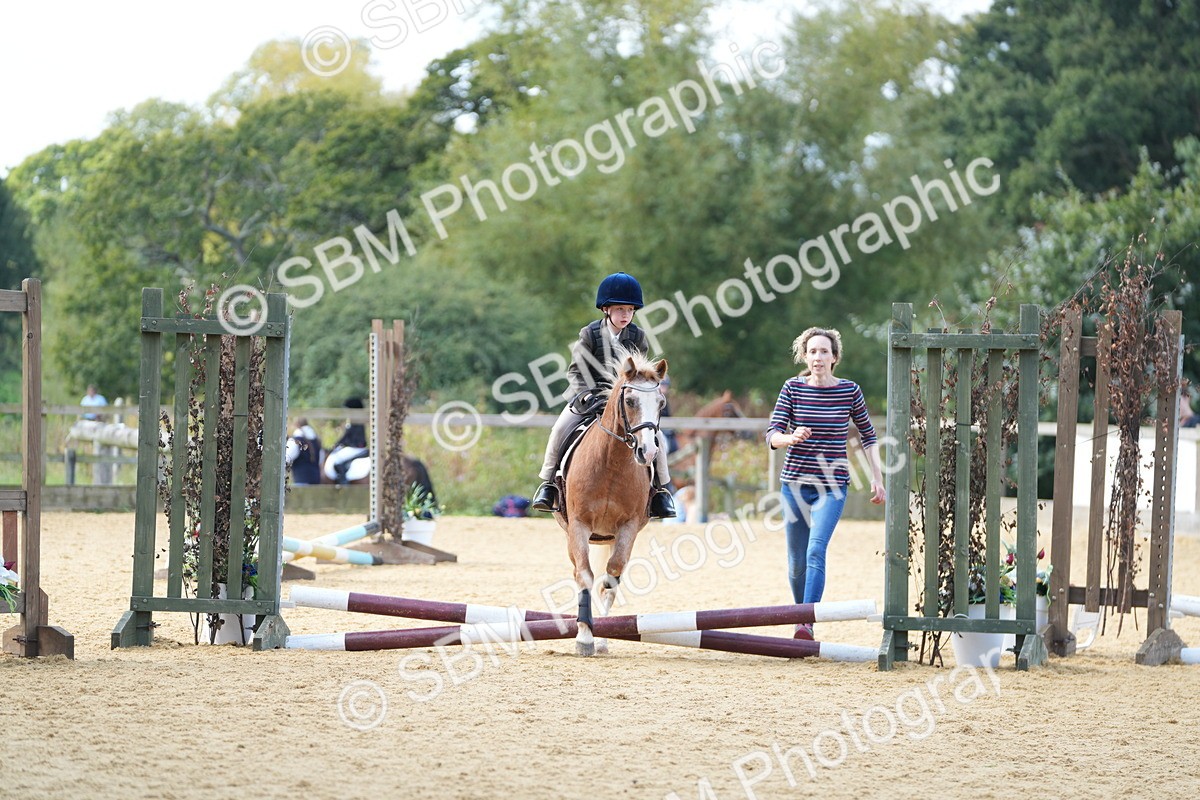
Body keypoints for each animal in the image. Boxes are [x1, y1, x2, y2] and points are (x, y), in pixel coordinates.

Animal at [553, 350, 668, 656]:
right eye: (629, 401)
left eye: (661, 403)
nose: (648, 452)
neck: (611, 463)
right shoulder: (579, 525)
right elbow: (584, 576)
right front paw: (584, 638)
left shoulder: (628, 527)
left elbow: (611, 578)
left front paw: (599, 636)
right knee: (578, 570)